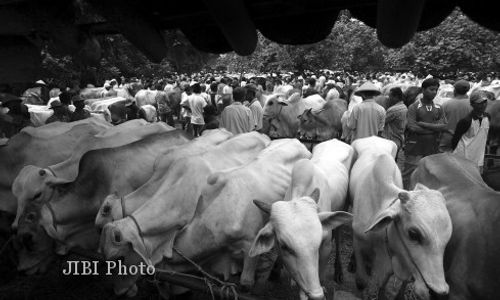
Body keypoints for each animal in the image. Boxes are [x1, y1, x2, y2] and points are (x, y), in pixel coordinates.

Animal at [249, 140, 352, 300]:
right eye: (284, 246)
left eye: (318, 243)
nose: (316, 295)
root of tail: (336, 140)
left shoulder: (326, 246)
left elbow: (321, 272)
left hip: (345, 206)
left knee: (338, 235)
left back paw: (339, 272)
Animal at [350, 137, 452, 300]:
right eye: (413, 234)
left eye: (447, 239)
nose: (438, 291)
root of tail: (373, 137)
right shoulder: (358, 240)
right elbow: (361, 281)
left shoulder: (393, 259)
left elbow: (384, 282)